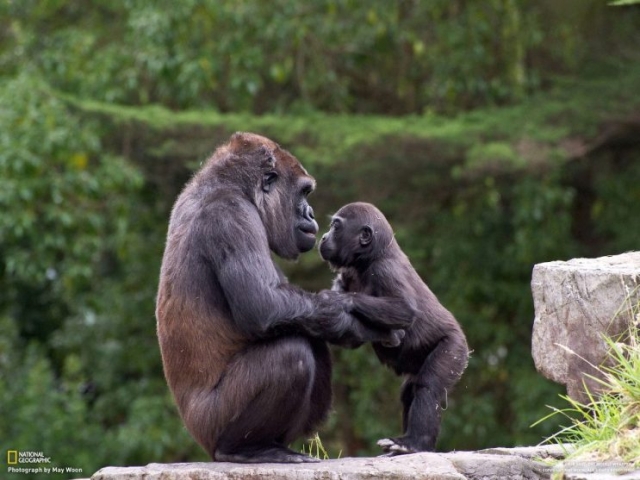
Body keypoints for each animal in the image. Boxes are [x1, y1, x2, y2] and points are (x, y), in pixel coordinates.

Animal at [158, 133, 412, 464]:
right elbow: (264, 305)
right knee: (293, 353)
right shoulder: (230, 216)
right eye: (303, 192)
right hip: (209, 426)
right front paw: (353, 322)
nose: (310, 213)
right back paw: (243, 449)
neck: (231, 186)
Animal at [318, 202, 468, 454]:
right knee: (410, 391)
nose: (323, 237)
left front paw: (337, 301)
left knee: (428, 387)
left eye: (336, 227)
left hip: (456, 348)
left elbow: (404, 309)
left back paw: (414, 442)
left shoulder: (385, 269)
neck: (373, 254)